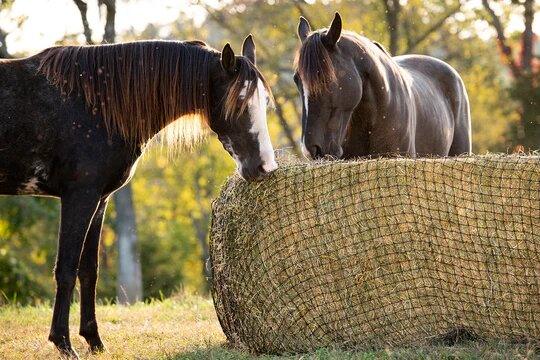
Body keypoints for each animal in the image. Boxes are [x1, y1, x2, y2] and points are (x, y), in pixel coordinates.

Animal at [0, 35, 276, 358]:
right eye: (240, 101)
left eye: (264, 102)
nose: (265, 167)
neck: (95, 105)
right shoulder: (79, 197)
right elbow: (66, 269)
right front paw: (64, 344)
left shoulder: (99, 201)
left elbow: (89, 271)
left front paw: (94, 340)